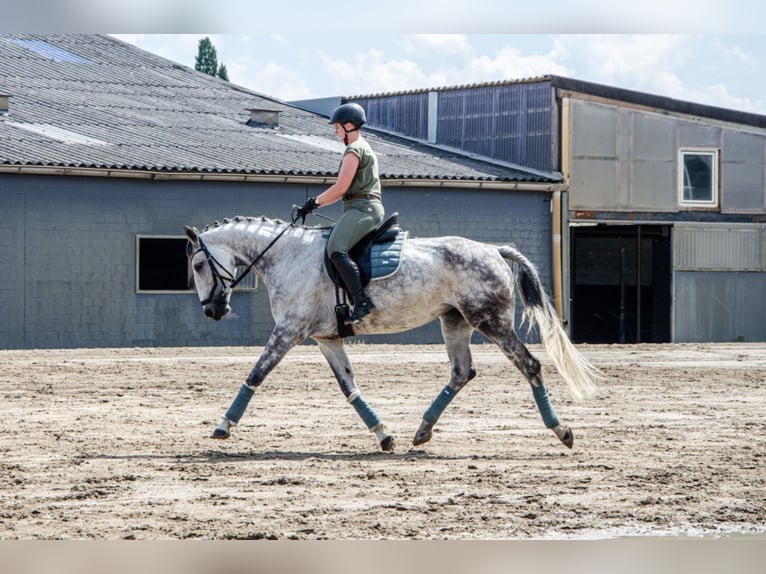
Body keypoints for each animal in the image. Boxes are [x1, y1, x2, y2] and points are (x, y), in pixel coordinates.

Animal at [184, 214, 599, 452]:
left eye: (199, 265)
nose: (213, 311)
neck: (287, 255)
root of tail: (494, 250)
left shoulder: (289, 331)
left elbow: (255, 374)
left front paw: (223, 425)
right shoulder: (326, 339)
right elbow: (349, 387)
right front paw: (383, 435)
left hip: (491, 322)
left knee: (530, 366)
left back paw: (561, 431)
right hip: (456, 322)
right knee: (461, 372)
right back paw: (422, 430)